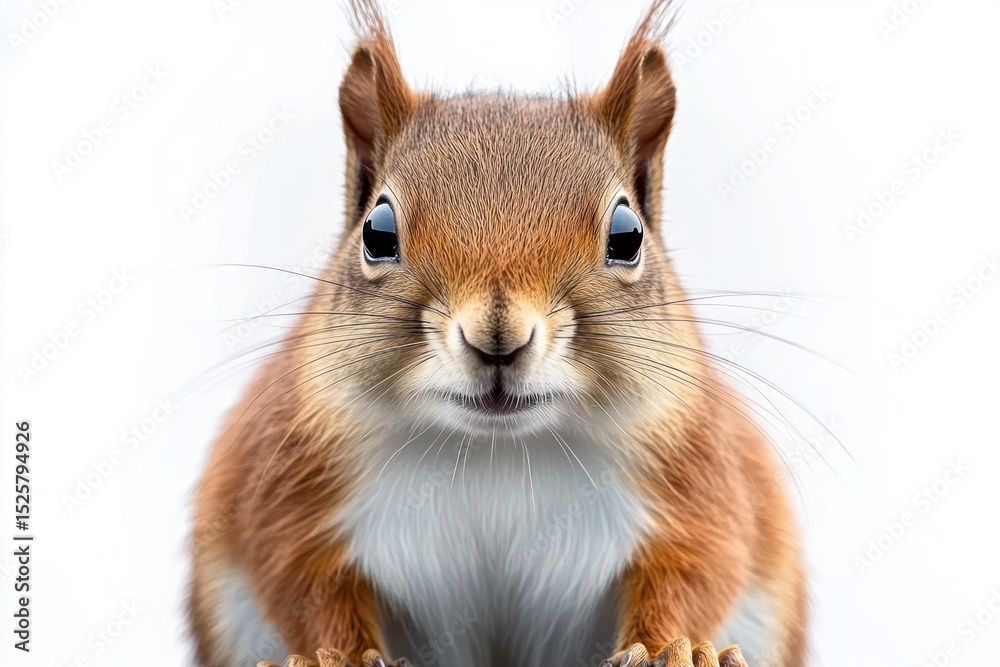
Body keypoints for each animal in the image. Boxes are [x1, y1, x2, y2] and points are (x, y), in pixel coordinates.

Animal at [187, 1, 808, 666]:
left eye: (628, 235)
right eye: (377, 231)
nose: (497, 338)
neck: (497, 454)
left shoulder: (698, 478)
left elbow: (696, 569)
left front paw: (673, 649)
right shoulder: (289, 485)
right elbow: (304, 582)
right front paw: (342, 656)